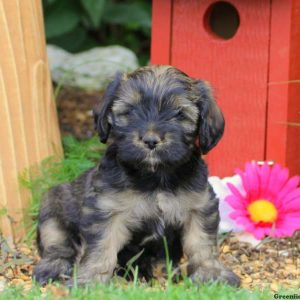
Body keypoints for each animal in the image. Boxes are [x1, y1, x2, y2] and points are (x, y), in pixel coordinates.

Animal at [32, 65, 240, 286]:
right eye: (130, 110)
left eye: (179, 114)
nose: (150, 140)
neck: (155, 178)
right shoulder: (106, 210)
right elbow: (101, 248)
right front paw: (90, 280)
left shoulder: (199, 206)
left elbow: (202, 243)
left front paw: (212, 274)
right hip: (53, 207)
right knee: (57, 245)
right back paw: (52, 268)